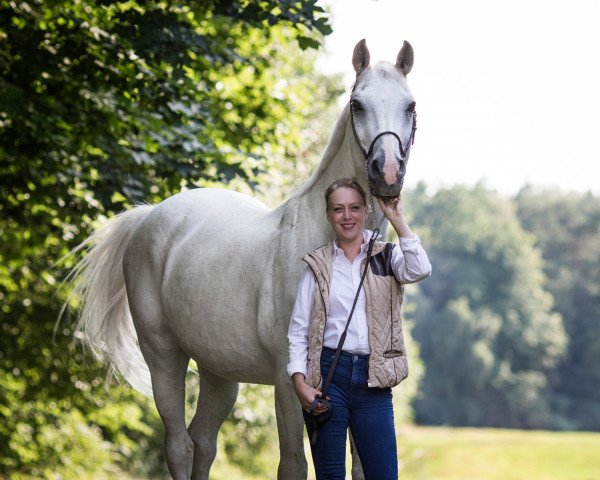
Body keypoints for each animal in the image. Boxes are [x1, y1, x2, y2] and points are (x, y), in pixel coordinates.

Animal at [70, 39, 418, 478]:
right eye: (357, 104)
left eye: (410, 105)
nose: (387, 173)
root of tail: (149, 216)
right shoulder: (290, 385)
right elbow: (292, 464)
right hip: (163, 356)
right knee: (180, 446)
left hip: (218, 372)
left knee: (203, 442)